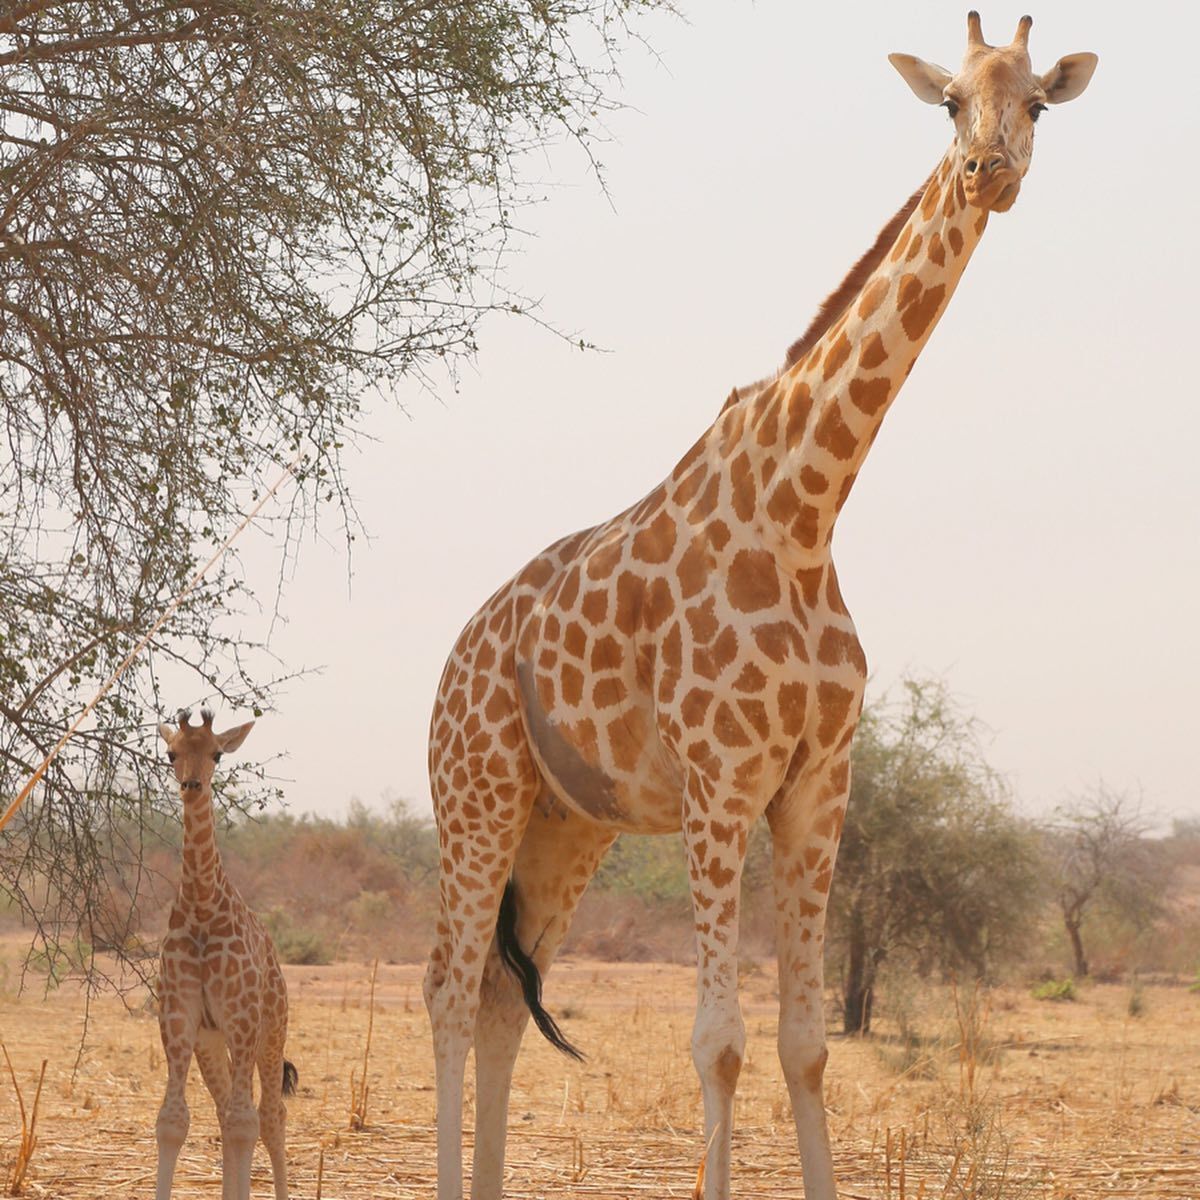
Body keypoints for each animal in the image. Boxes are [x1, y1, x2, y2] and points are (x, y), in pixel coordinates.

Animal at [154, 705, 295, 1200]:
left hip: (271, 1031)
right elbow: (172, 1122)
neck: (201, 905)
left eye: (217, 753)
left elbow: (245, 1123)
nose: (191, 785)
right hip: (212, 1040)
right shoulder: (179, 1017)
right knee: (225, 1109)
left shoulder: (242, 1016)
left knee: (268, 1116)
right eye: (171, 752)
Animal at [424, 11, 1099, 1200]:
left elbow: (805, 1044)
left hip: (567, 826)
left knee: (505, 994)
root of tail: (450, 664)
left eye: (1037, 104)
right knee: (450, 993)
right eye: (948, 102)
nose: (991, 171)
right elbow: (719, 1042)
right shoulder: (721, 784)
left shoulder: (818, 785)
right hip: (476, 798)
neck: (805, 512)